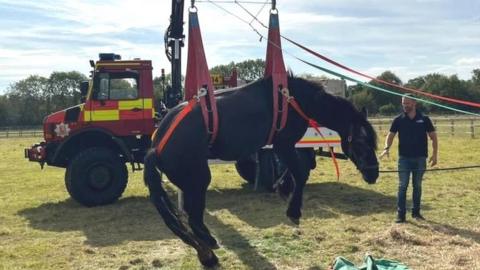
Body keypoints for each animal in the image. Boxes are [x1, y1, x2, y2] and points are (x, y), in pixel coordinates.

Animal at [142, 75, 378, 266]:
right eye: (360, 142)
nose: (373, 173)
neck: (294, 100)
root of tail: (157, 146)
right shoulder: (284, 143)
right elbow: (300, 173)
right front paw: (293, 211)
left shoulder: (282, 147)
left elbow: (293, 171)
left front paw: (282, 188)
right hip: (198, 181)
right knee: (194, 220)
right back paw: (209, 247)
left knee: (189, 224)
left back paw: (207, 254)